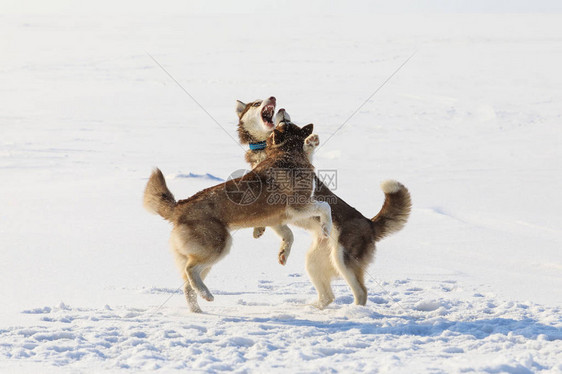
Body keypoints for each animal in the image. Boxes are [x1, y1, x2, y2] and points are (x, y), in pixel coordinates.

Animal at [142, 120, 332, 312]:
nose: (280, 118)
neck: (286, 153)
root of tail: (180, 206)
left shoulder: (277, 218)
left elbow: (289, 235)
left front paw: (283, 253)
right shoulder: (298, 206)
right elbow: (326, 206)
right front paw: (327, 228)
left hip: (205, 257)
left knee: (188, 286)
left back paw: (199, 311)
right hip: (219, 246)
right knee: (191, 270)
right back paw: (207, 295)